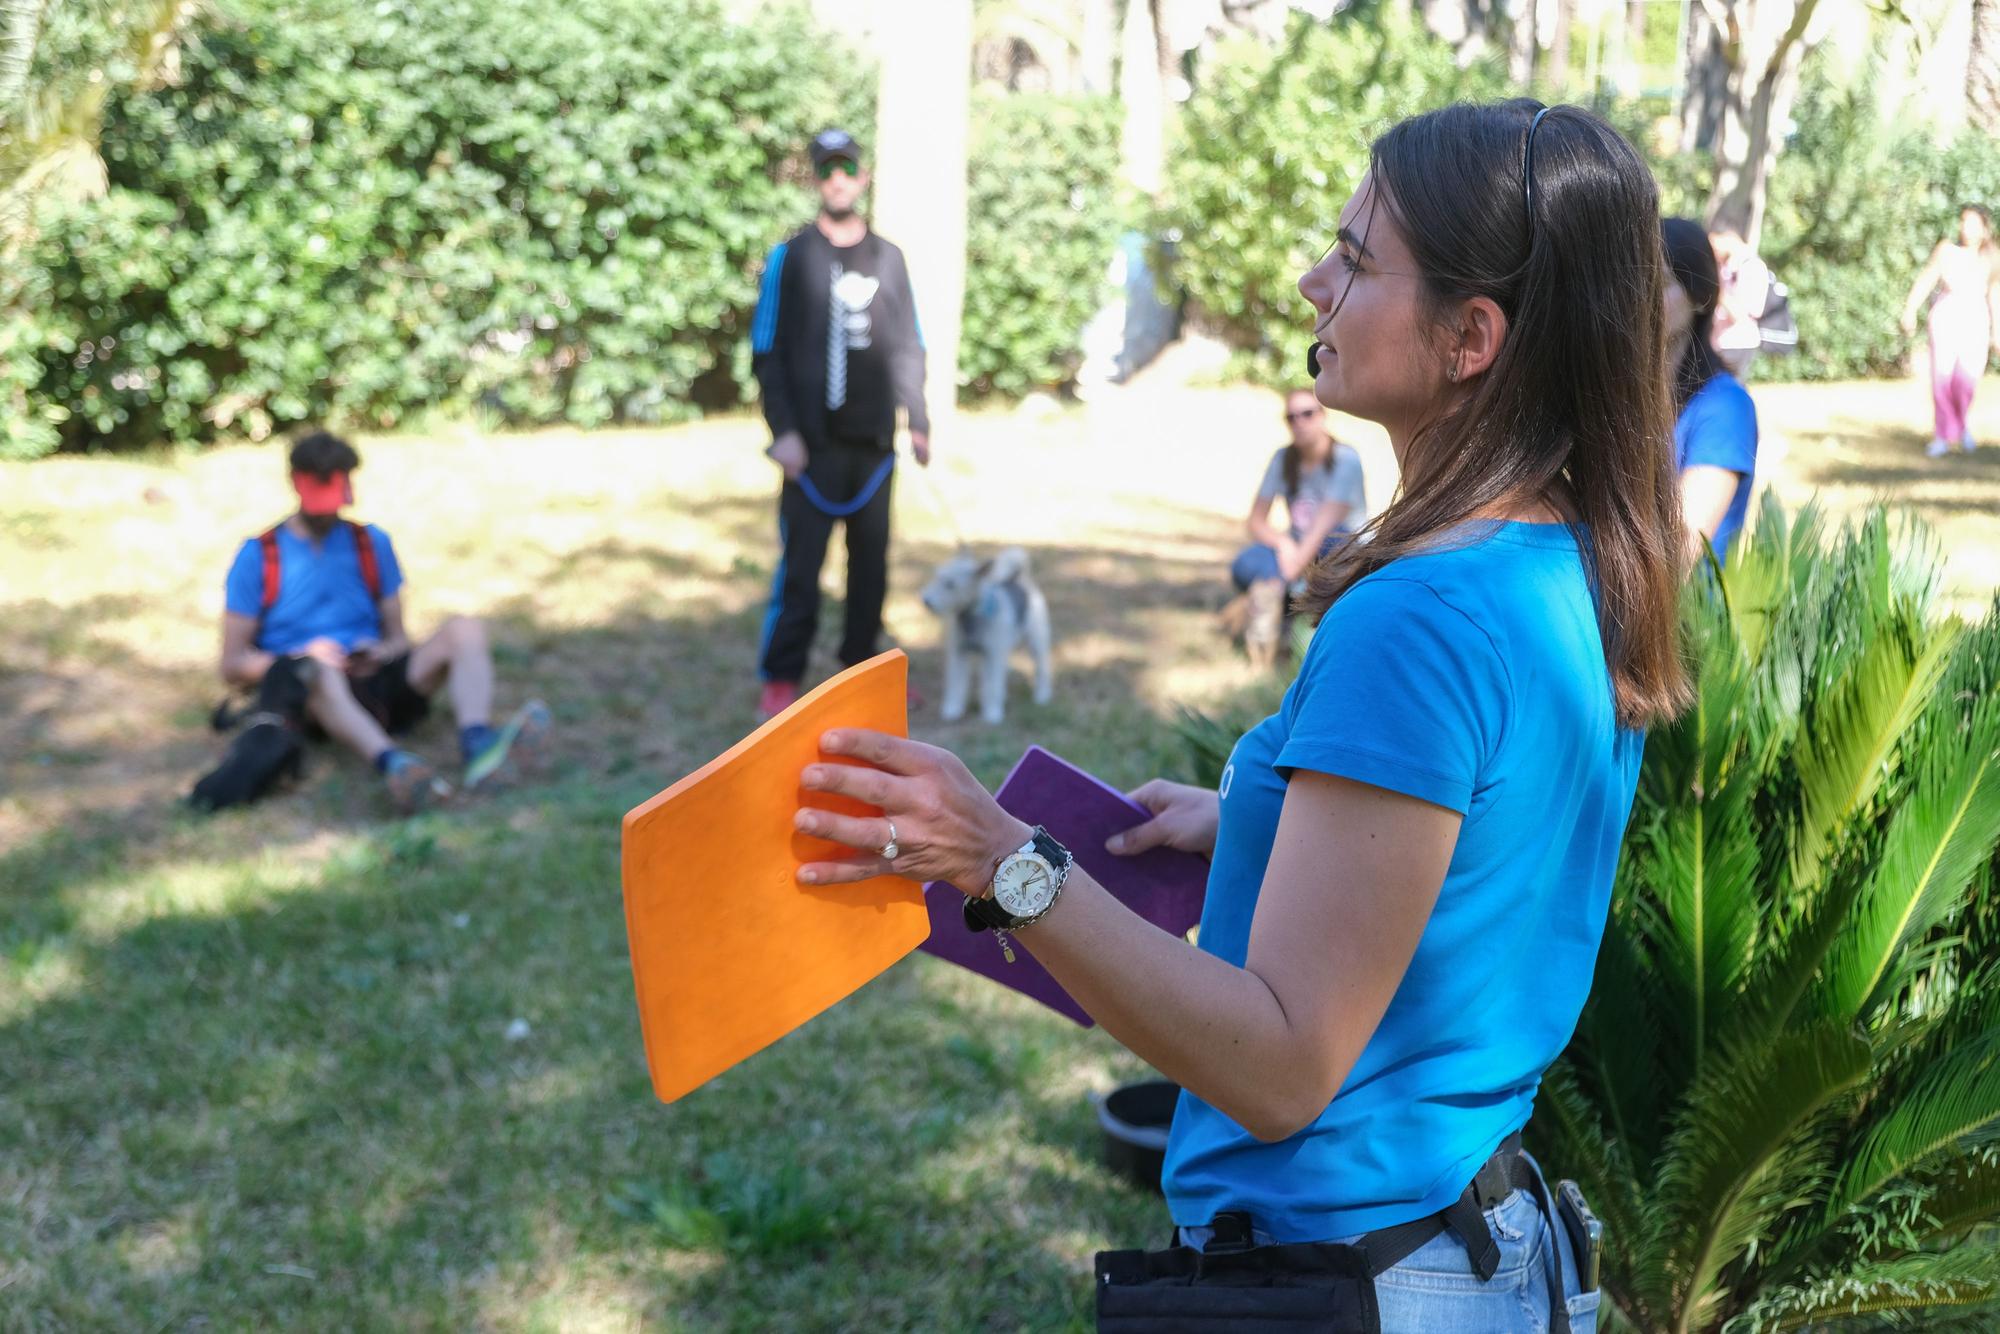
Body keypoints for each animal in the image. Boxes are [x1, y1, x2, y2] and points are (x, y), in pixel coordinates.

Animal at [916, 548, 1056, 724]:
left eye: (950, 584)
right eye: (936, 576)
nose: (926, 601)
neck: (971, 618)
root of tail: (1018, 578)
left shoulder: (992, 655)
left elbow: (993, 686)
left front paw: (992, 713)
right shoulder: (959, 653)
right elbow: (956, 683)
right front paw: (953, 709)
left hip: (1036, 641)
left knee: (1041, 668)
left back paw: (1042, 695)